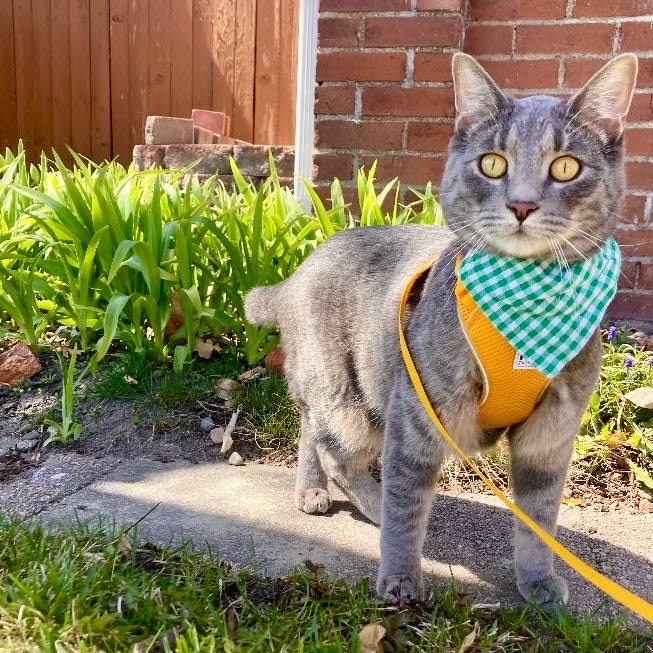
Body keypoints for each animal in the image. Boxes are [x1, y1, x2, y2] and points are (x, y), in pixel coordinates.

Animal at [242, 53, 636, 608]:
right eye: (492, 163)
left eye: (566, 167)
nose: (521, 205)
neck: (525, 312)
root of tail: (299, 271)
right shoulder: (417, 416)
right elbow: (407, 508)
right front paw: (401, 578)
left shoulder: (551, 434)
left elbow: (539, 520)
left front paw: (537, 583)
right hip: (352, 398)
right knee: (332, 447)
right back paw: (356, 500)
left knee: (310, 429)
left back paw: (318, 490)